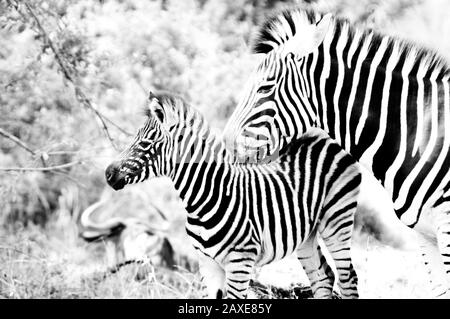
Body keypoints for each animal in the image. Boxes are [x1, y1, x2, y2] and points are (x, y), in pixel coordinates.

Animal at [105, 92, 362, 300]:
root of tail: (324, 137)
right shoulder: (207, 264)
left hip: (336, 221)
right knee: (323, 277)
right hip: (306, 234)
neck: (203, 199)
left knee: (348, 277)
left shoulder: (240, 262)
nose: (108, 174)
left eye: (146, 142)